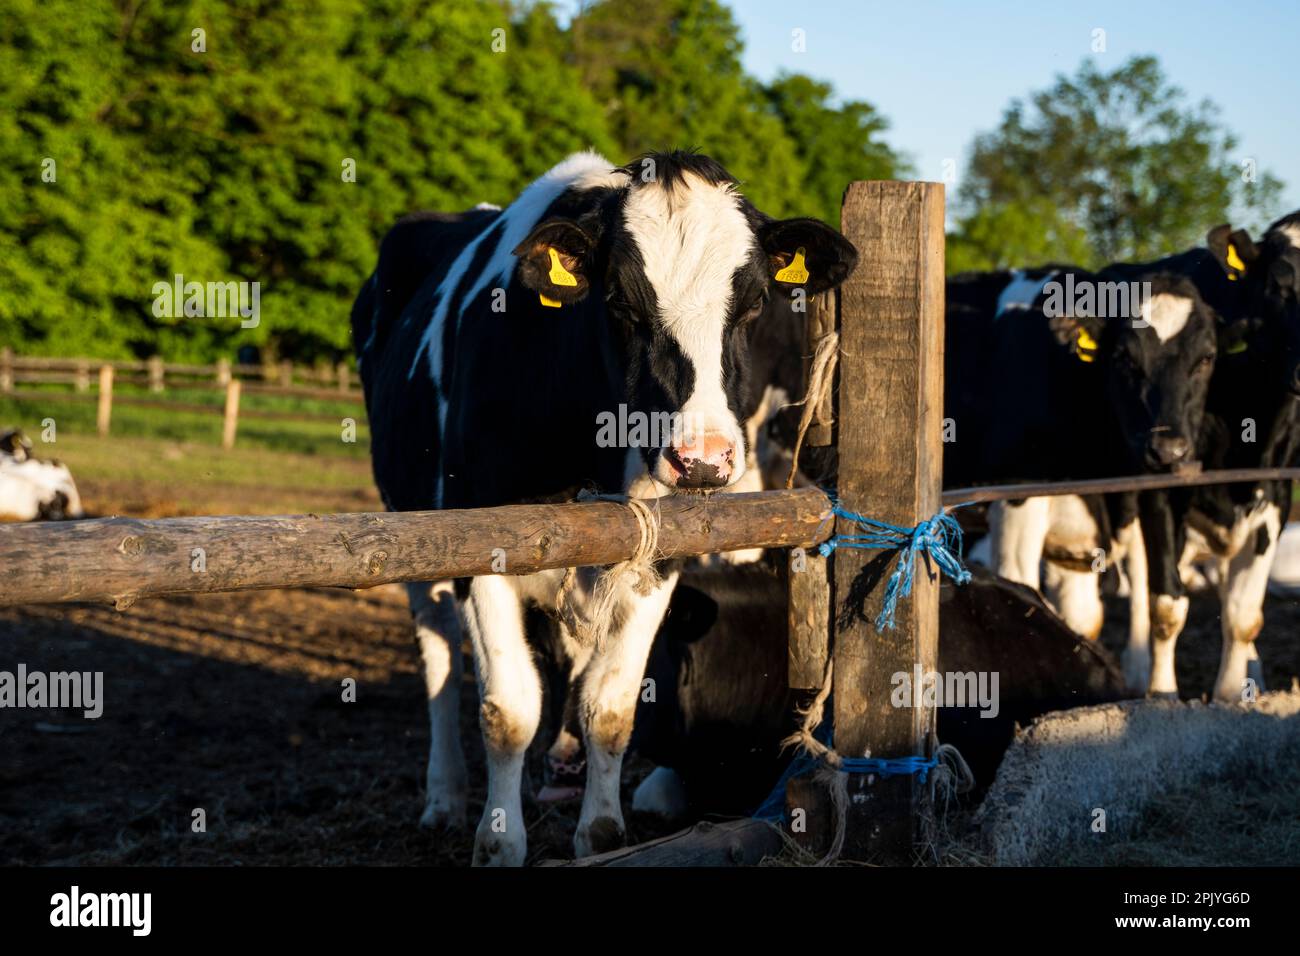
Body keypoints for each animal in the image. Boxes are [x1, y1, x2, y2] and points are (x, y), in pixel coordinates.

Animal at [351, 150, 858, 865]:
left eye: (755, 302)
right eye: (619, 301)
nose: (703, 459)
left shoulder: (659, 560)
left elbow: (611, 706)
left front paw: (600, 832)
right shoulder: (480, 549)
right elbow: (508, 710)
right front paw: (498, 841)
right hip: (414, 528)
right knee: (440, 658)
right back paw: (445, 798)